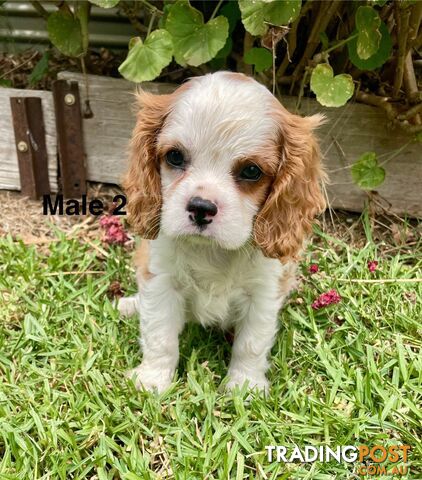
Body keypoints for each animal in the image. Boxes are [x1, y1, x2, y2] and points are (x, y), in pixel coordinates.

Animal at [118, 71, 326, 394]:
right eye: (175, 157)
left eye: (251, 171)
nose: (201, 207)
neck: (211, 251)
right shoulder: (161, 279)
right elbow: (160, 335)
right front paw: (153, 379)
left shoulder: (264, 291)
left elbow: (251, 344)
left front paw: (245, 385)